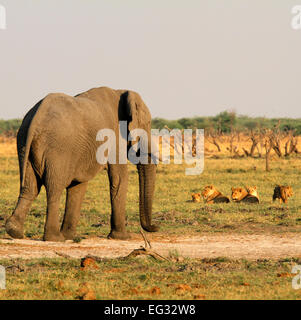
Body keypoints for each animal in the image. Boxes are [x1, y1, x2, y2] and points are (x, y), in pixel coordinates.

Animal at [5, 86, 159, 241]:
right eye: (148, 124)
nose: (156, 227)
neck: (120, 92)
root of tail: (37, 116)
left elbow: (78, 184)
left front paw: (69, 236)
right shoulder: (114, 136)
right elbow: (119, 178)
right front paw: (122, 237)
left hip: (23, 143)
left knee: (30, 187)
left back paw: (15, 231)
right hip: (57, 149)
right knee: (54, 188)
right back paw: (55, 238)